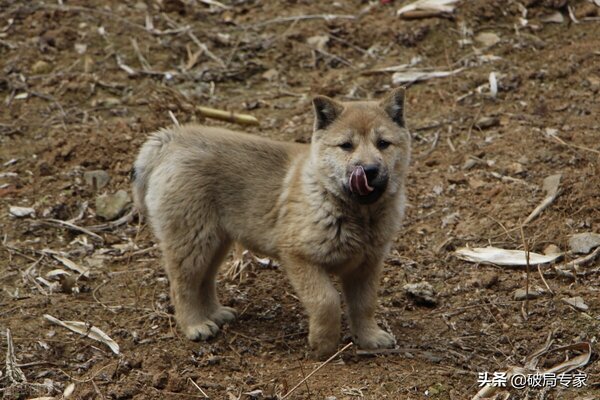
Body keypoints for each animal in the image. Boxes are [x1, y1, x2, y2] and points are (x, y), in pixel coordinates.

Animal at [132, 88, 410, 360]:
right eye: (346, 146)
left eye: (383, 144)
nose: (369, 170)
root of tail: (171, 139)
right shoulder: (299, 258)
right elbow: (326, 301)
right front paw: (324, 345)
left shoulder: (367, 265)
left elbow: (365, 305)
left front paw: (369, 337)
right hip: (192, 241)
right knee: (183, 286)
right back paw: (195, 325)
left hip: (214, 242)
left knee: (205, 280)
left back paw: (215, 314)